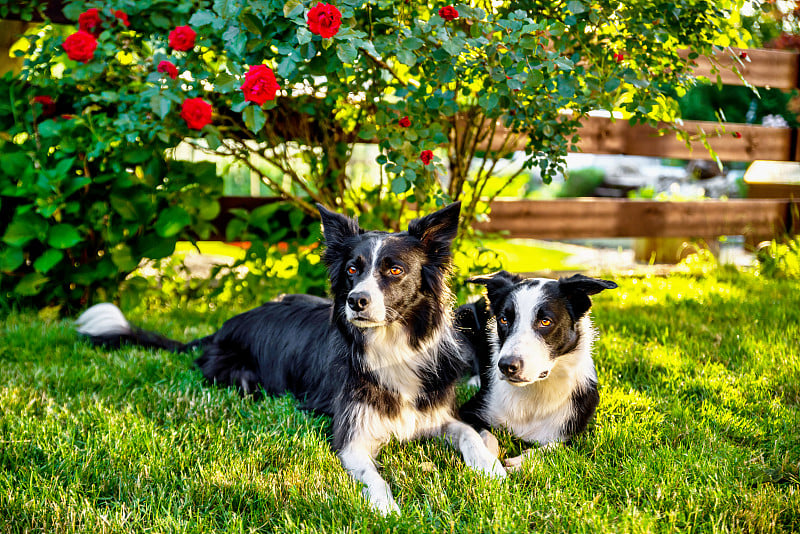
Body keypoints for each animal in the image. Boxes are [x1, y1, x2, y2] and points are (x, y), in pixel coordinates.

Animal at [75, 201, 504, 516]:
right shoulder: (352, 439)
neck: (389, 346)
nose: (355, 301)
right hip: (241, 376)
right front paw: (388, 510)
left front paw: (493, 468)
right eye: (352, 269)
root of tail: (226, 324)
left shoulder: (434, 413)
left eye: (395, 270)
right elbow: (375, 477)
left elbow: (468, 432)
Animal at [456, 272, 620, 468]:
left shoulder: (576, 433)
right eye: (504, 319)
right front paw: (488, 462)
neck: (534, 389)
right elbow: (481, 435)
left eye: (545, 321)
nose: (506, 366)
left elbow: (553, 448)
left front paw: (519, 463)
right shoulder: (468, 411)